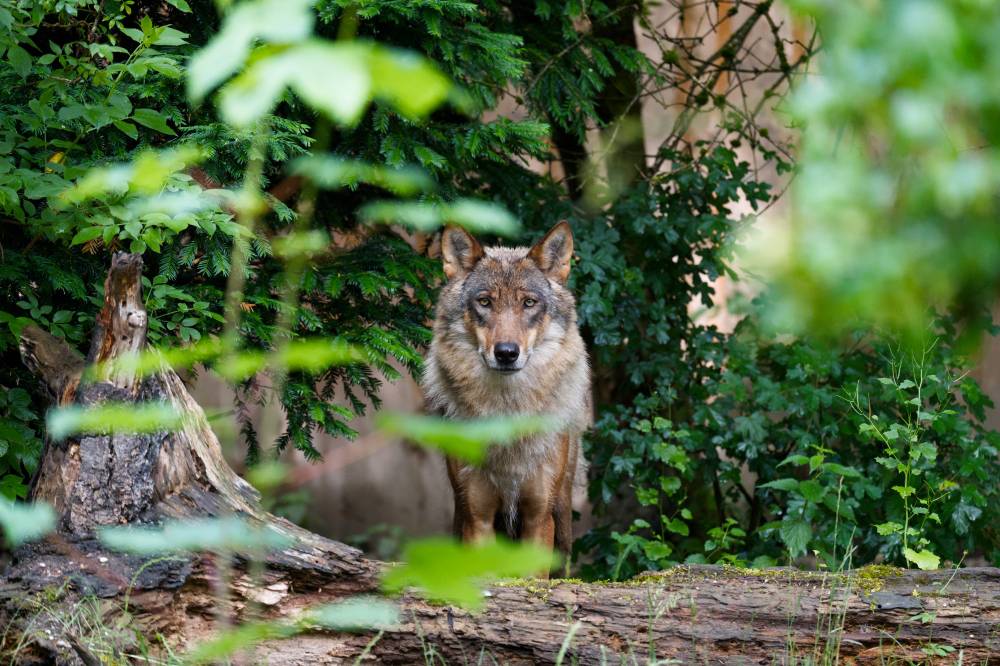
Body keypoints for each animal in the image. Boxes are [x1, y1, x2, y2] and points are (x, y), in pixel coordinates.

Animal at [422, 221, 591, 557]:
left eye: (529, 303)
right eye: (485, 302)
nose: (506, 353)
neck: (508, 411)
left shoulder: (539, 517)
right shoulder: (478, 517)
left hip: (562, 517)